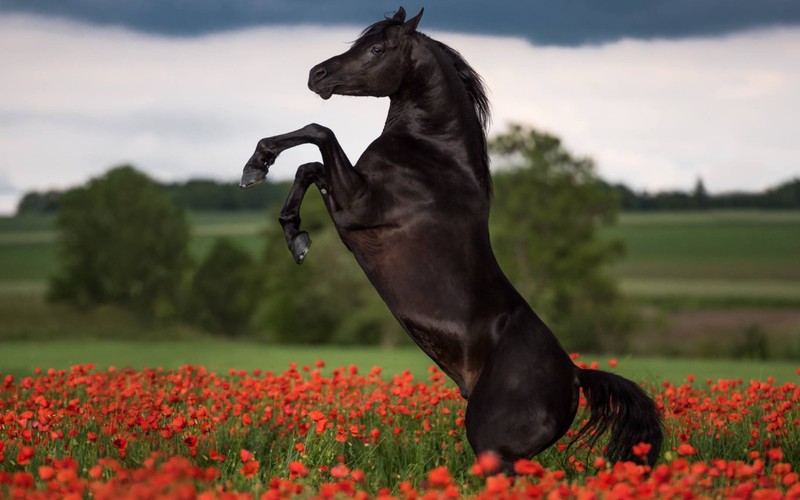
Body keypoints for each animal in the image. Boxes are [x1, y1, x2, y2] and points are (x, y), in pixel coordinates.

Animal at [239, 5, 664, 470]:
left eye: (376, 48)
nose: (317, 74)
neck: (431, 153)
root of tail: (574, 376)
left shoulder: (356, 206)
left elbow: (320, 134)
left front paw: (257, 165)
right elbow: (308, 168)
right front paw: (293, 232)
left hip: (491, 444)